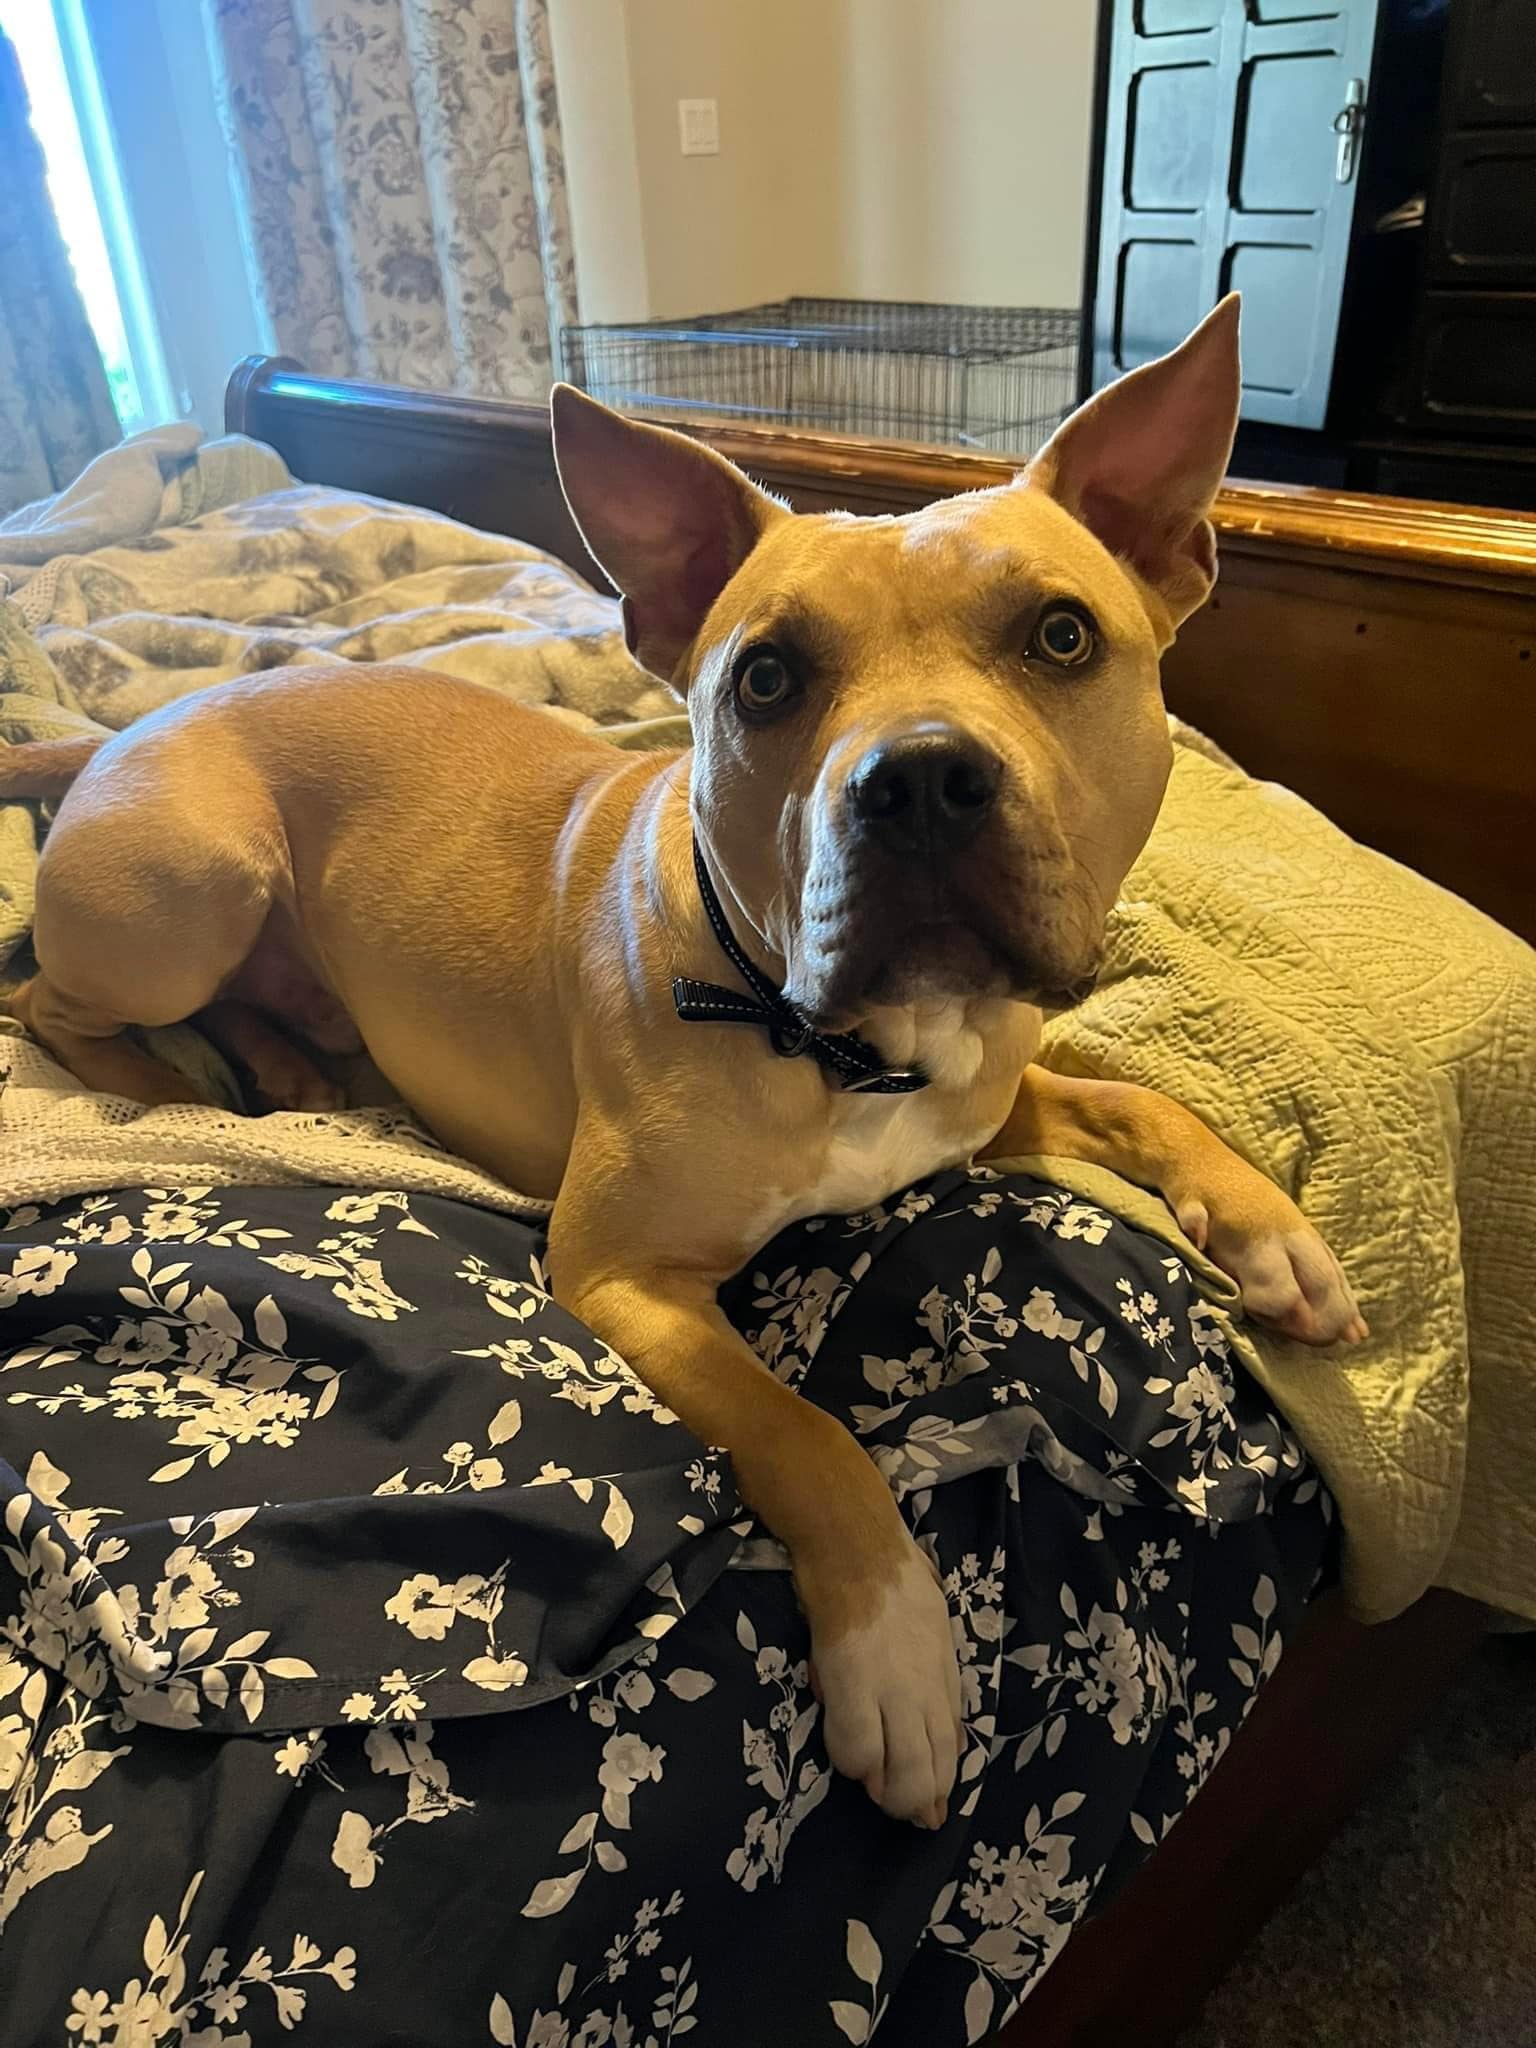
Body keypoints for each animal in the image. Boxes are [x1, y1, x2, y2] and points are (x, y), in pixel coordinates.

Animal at [6, 296, 1368, 1835]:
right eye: (765, 677)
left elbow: (1145, 1098)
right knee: (43, 992)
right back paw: (174, 1080)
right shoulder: (624, 1276)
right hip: (197, 884)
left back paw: (294, 1072)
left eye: (1063, 634)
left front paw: (1274, 1237)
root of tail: (125, 727)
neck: (844, 1044)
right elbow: (807, 1434)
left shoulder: (989, 1092)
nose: (919, 779)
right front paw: (898, 1652)